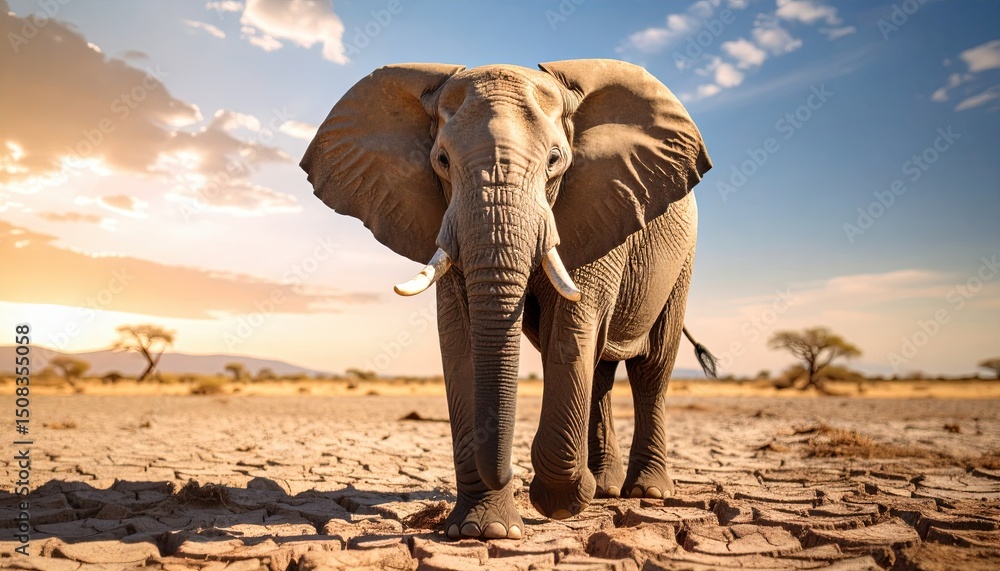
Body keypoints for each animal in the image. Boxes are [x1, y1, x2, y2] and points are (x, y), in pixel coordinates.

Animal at [301, 59, 715, 540]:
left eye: (555, 160)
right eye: (441, 161)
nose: (509, 473)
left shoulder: (600, 205)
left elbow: (573, 326)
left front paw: (559, 504)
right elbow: (459, 338)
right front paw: (485, 531)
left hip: (683, 258)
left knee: (652, 365)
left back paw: (645, 492)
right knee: (602, 372)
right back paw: (604, 488)